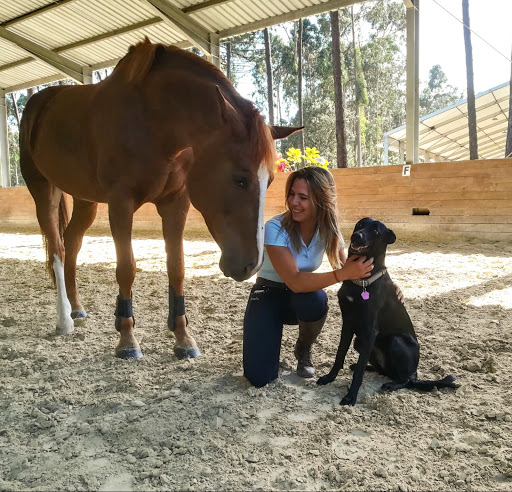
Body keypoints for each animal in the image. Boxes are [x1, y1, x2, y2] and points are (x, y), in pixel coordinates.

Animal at [21, 38, 300, 360]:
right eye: (239, 179)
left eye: (270, 181)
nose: (250, 266)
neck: (151, 120)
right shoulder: (121, 203)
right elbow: (126, 268)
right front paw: (127, 339)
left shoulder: (175, 203)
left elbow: (176, 267)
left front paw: (183, 338)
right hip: (44, 190)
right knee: (57, 247)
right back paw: (64, 318)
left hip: (85, 199)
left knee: (72, 243)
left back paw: (76, 308)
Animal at [318, 217, 458, 406]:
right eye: (360, 224)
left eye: (376, 231)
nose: (356, 236)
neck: (362, 281)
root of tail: (415, 374)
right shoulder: (347, 324)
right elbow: (339, 355)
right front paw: (329, 377)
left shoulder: (370, 331)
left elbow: (358, 373)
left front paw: (351, 396)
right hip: (359, 342)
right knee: (384, 371)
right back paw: (371, 368)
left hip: (395, 341)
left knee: (406, 381)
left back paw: (392, 384)